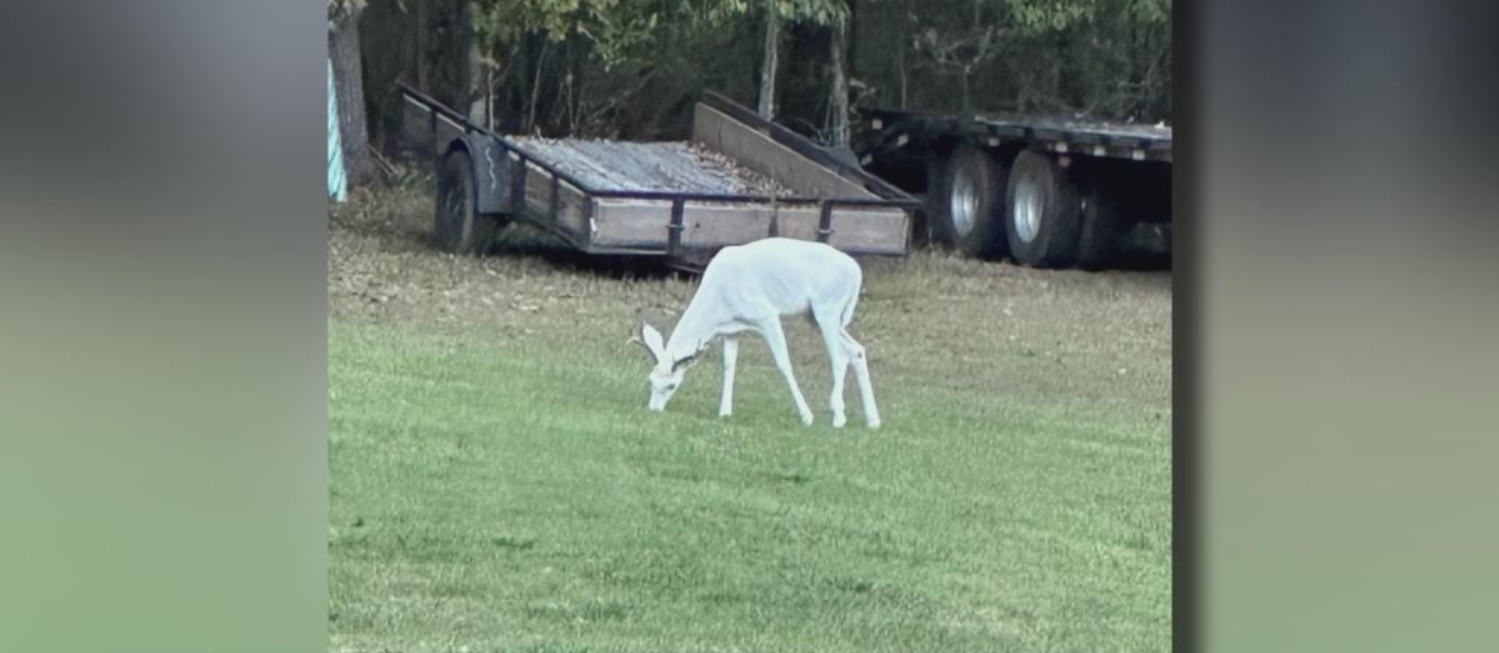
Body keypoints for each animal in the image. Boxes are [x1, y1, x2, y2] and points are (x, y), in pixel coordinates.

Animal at [629, 236, 875, 428]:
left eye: (671, 385)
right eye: (650, 380)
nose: (654, 410)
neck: (719, 298)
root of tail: (857, 272)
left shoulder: (766, 315)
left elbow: (784, 363)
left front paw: (807, 416)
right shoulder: (733, 330)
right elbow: (729, 365)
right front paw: (725, 412)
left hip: (827, 310)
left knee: (839, 357)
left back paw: (838, 416)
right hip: (815, 316)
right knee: (856, 350)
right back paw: (873, 420)